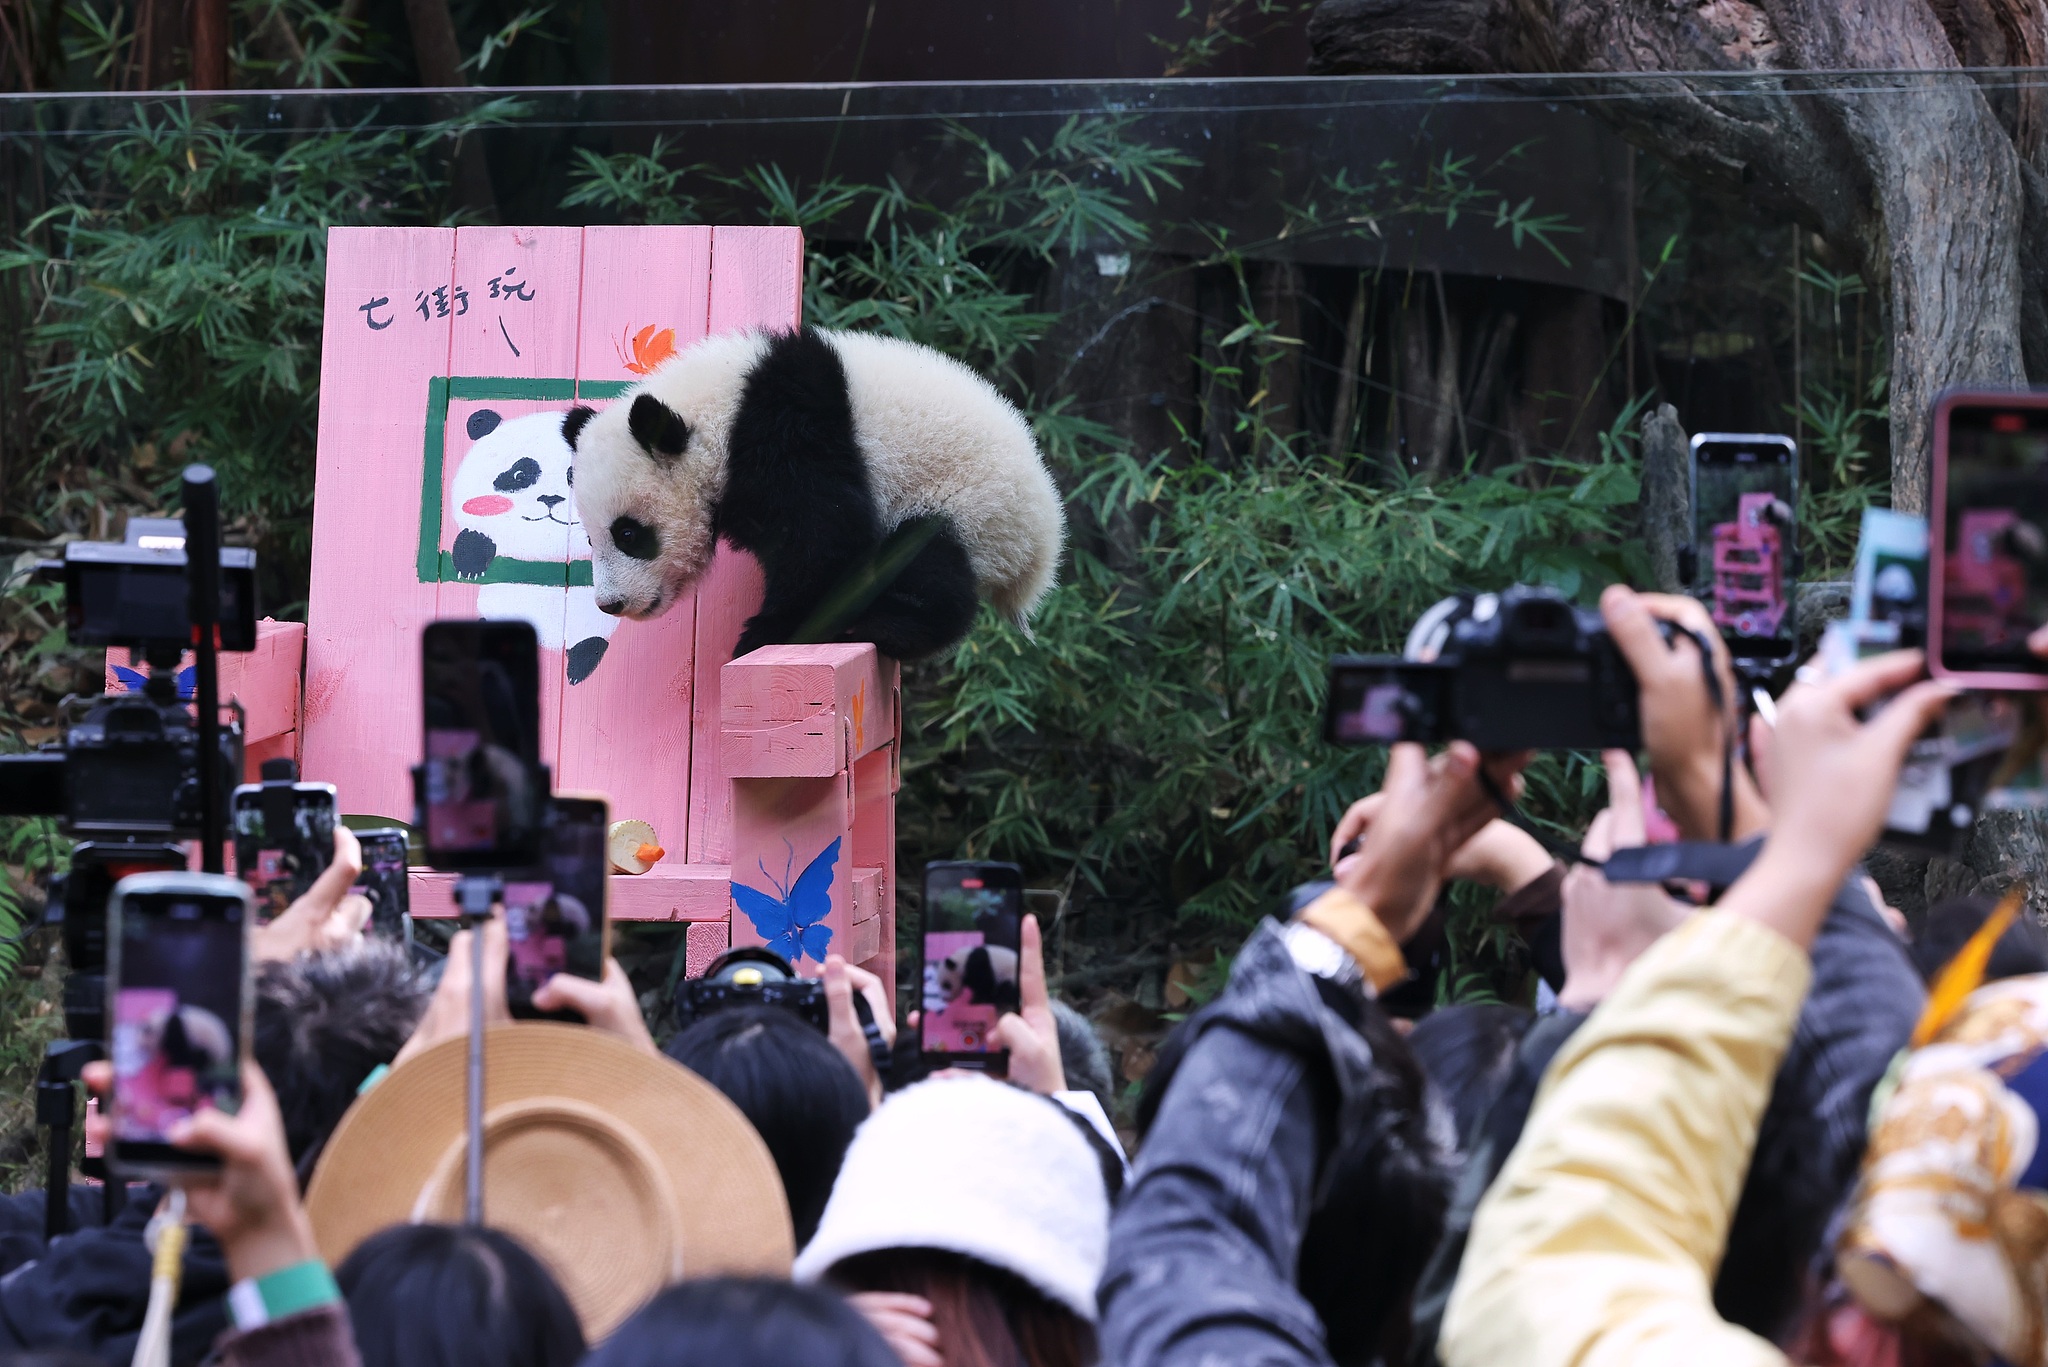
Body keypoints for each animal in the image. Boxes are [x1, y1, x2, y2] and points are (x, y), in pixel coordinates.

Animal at [925, 864, 1024, 1065]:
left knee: (1005, 989)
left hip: (1011, 977)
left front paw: (975, 1000)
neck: (962, 959)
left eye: (946, 984)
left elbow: (984, 983)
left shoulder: (978, 963)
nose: (945, 998)